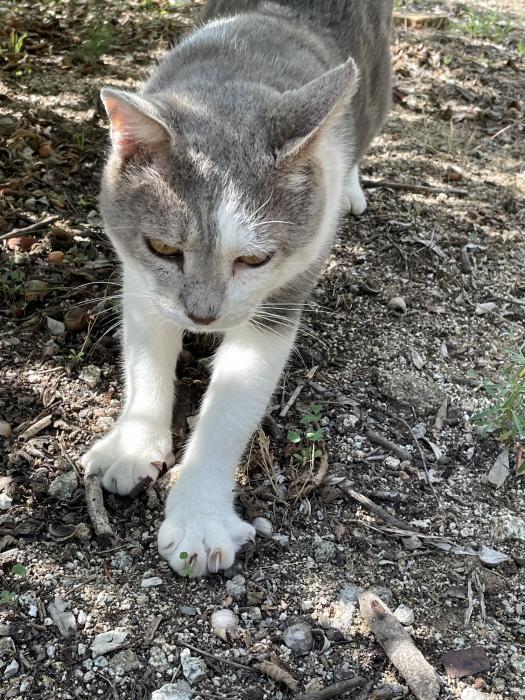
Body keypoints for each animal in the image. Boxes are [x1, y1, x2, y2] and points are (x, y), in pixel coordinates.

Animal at [82, 0, 390, 576]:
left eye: (254, 259)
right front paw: (132, 445)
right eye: (164, 248)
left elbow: (232, 403)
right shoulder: (142, 279)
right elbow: (145, 354)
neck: (232, 83)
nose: (202, 315)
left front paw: (198, 522)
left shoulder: (282, 294)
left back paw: (352, 188)